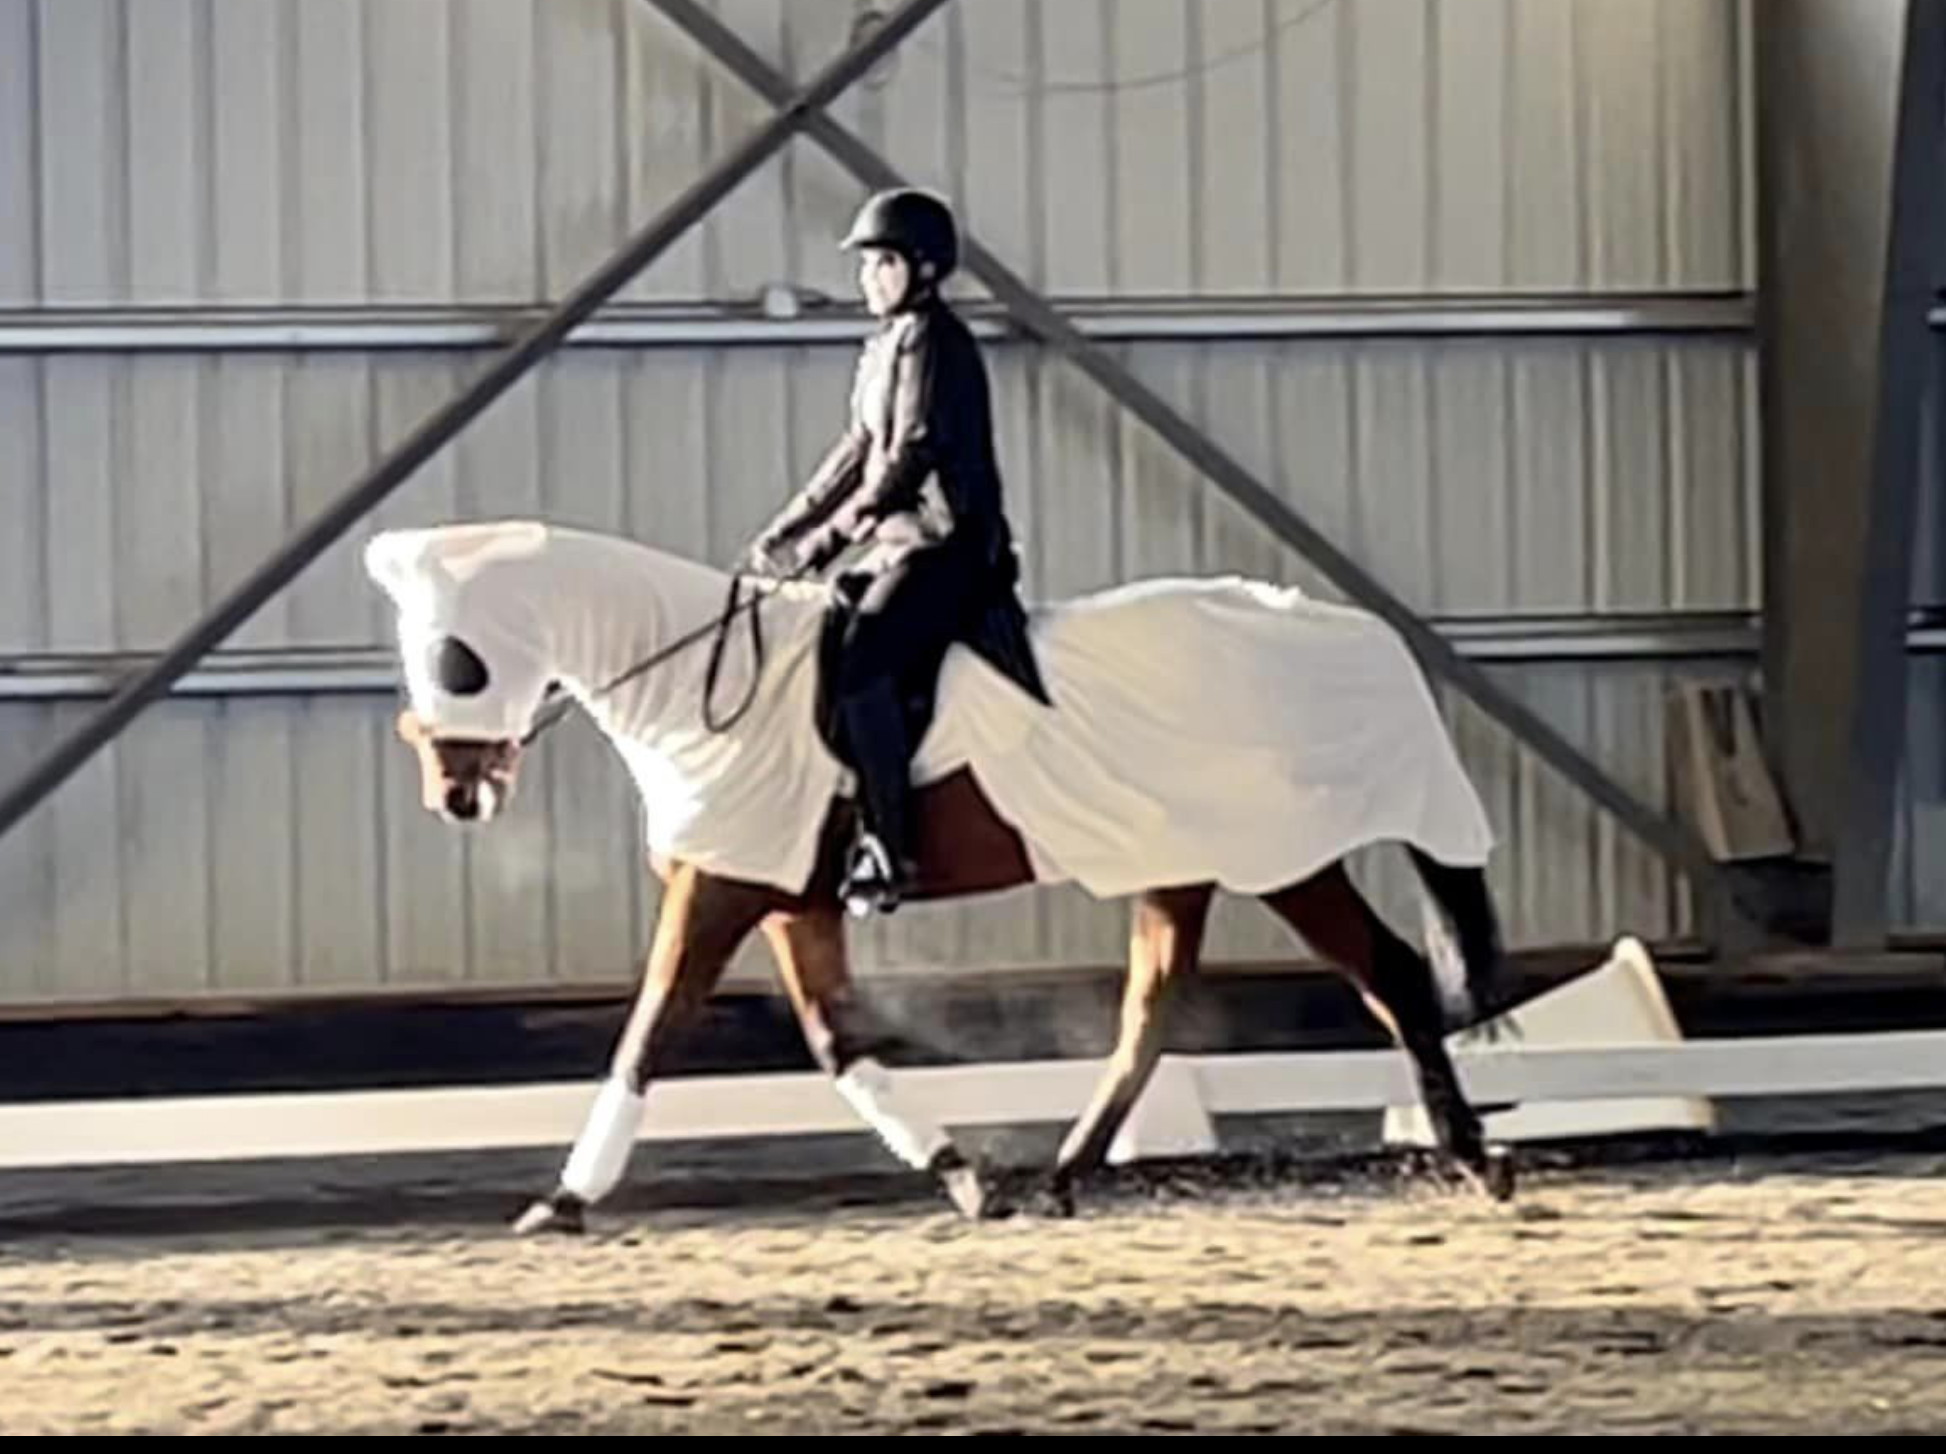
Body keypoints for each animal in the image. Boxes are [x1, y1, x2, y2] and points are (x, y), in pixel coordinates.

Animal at [363, 520, 1516, 1232]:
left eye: (452, 657)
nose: (456, 794)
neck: (697, 681)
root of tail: (1331, 624)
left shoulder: (721, 882)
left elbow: (649, 1032)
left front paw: (563, 1199)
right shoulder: (789, 899)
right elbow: (837, 1041)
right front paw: (963, 1180)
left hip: (1281, 856)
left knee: (1389, 977)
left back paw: (1472, 1158)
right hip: (1178, 859)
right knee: (1153, 1010)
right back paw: (1060, 1179)